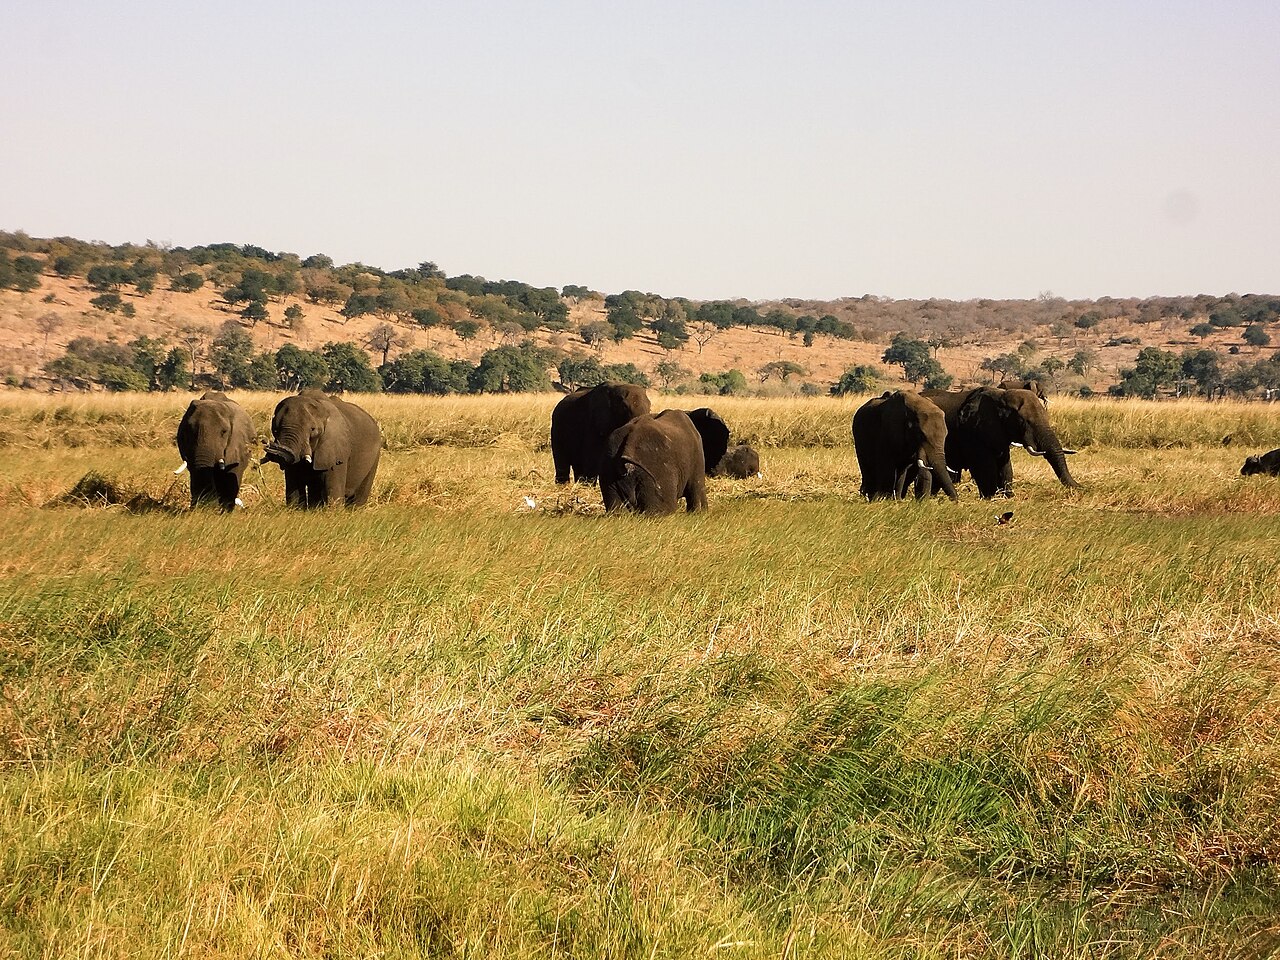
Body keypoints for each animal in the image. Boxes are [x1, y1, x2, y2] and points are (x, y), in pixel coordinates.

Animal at [922, 386, 1078, 498]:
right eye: (1022, 421)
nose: (1079, 487)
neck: (1001, 396)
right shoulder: (972, 432)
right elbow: (985, 466)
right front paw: (990, 498)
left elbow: (1005, 466)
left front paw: (1007, 497)